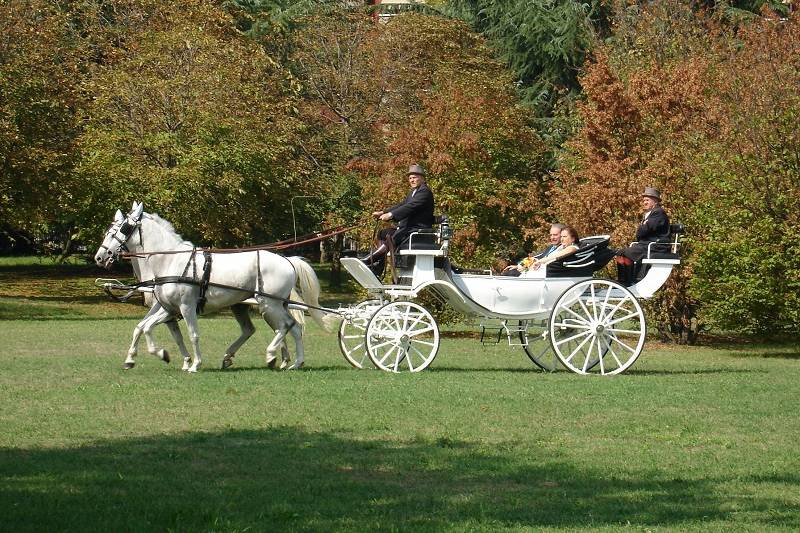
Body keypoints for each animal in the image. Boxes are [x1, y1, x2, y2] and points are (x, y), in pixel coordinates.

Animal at [95, 202, 332, 372]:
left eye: (122, 228)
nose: (100, 256)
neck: (171, 261)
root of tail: (287, 260)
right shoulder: (167, 308)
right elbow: (143, 327)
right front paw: (147, 357)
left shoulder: (185, 307)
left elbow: (191, 334)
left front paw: (193, 364)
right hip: (264, 305)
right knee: (292, 328)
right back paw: (293, 362)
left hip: (269, 304)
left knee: (285, 326)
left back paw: (271, 355)